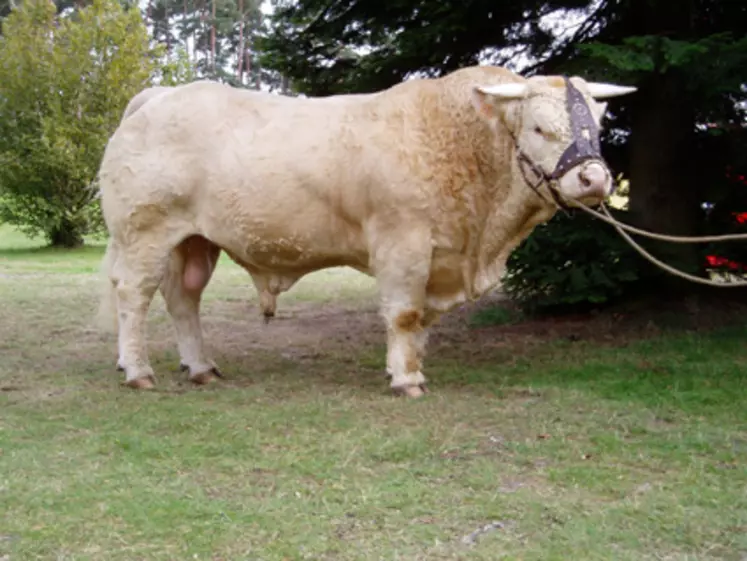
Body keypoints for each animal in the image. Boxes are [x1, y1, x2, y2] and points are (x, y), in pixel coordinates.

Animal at [95, 65, 636, 396]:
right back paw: (138, 371)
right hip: (145, 232)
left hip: (194, 241)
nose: (594, 179)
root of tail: (159, 95)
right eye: (541, 128)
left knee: (183, 300)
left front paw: (411, 364)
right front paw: (406, 379)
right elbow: (404, 314)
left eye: (597, 126)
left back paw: (201, 368)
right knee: (134, 297)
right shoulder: (403, 244)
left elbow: (422, 321)